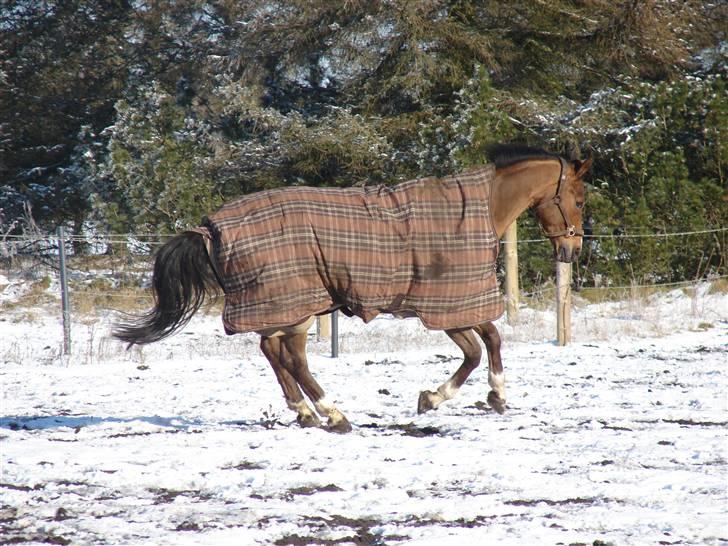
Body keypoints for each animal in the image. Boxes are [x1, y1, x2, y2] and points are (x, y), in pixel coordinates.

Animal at [115, 146, 592, 434]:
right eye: (580, 200)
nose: (571, 250)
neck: (477, 210)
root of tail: (210, 228)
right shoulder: (444, 306)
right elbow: (478, 349)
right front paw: (434, 398)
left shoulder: (456, 304)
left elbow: (491, 340)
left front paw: (496, 395)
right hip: (296, 304)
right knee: (293, 358)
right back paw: (332, 413)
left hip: (282, 305)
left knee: (273, 351)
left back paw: (305, 413)